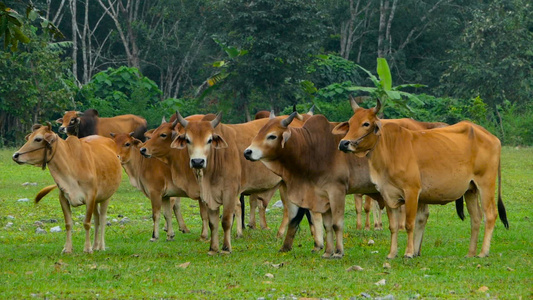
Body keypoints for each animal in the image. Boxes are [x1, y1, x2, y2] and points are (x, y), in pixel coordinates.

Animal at [334, 99, 510, 258]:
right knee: (476, 218)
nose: (344, 143)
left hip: (486, 184)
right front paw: (392, 253)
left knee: (490, 215)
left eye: (365, 124)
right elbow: (393, 226)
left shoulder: (412, 192)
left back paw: (483, 252)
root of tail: (493, 138)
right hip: (470, 190)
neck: (389, 147)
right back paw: (471, 253)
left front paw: (409, 252)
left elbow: (409, 224)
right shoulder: (389, 195)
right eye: (350, 123)